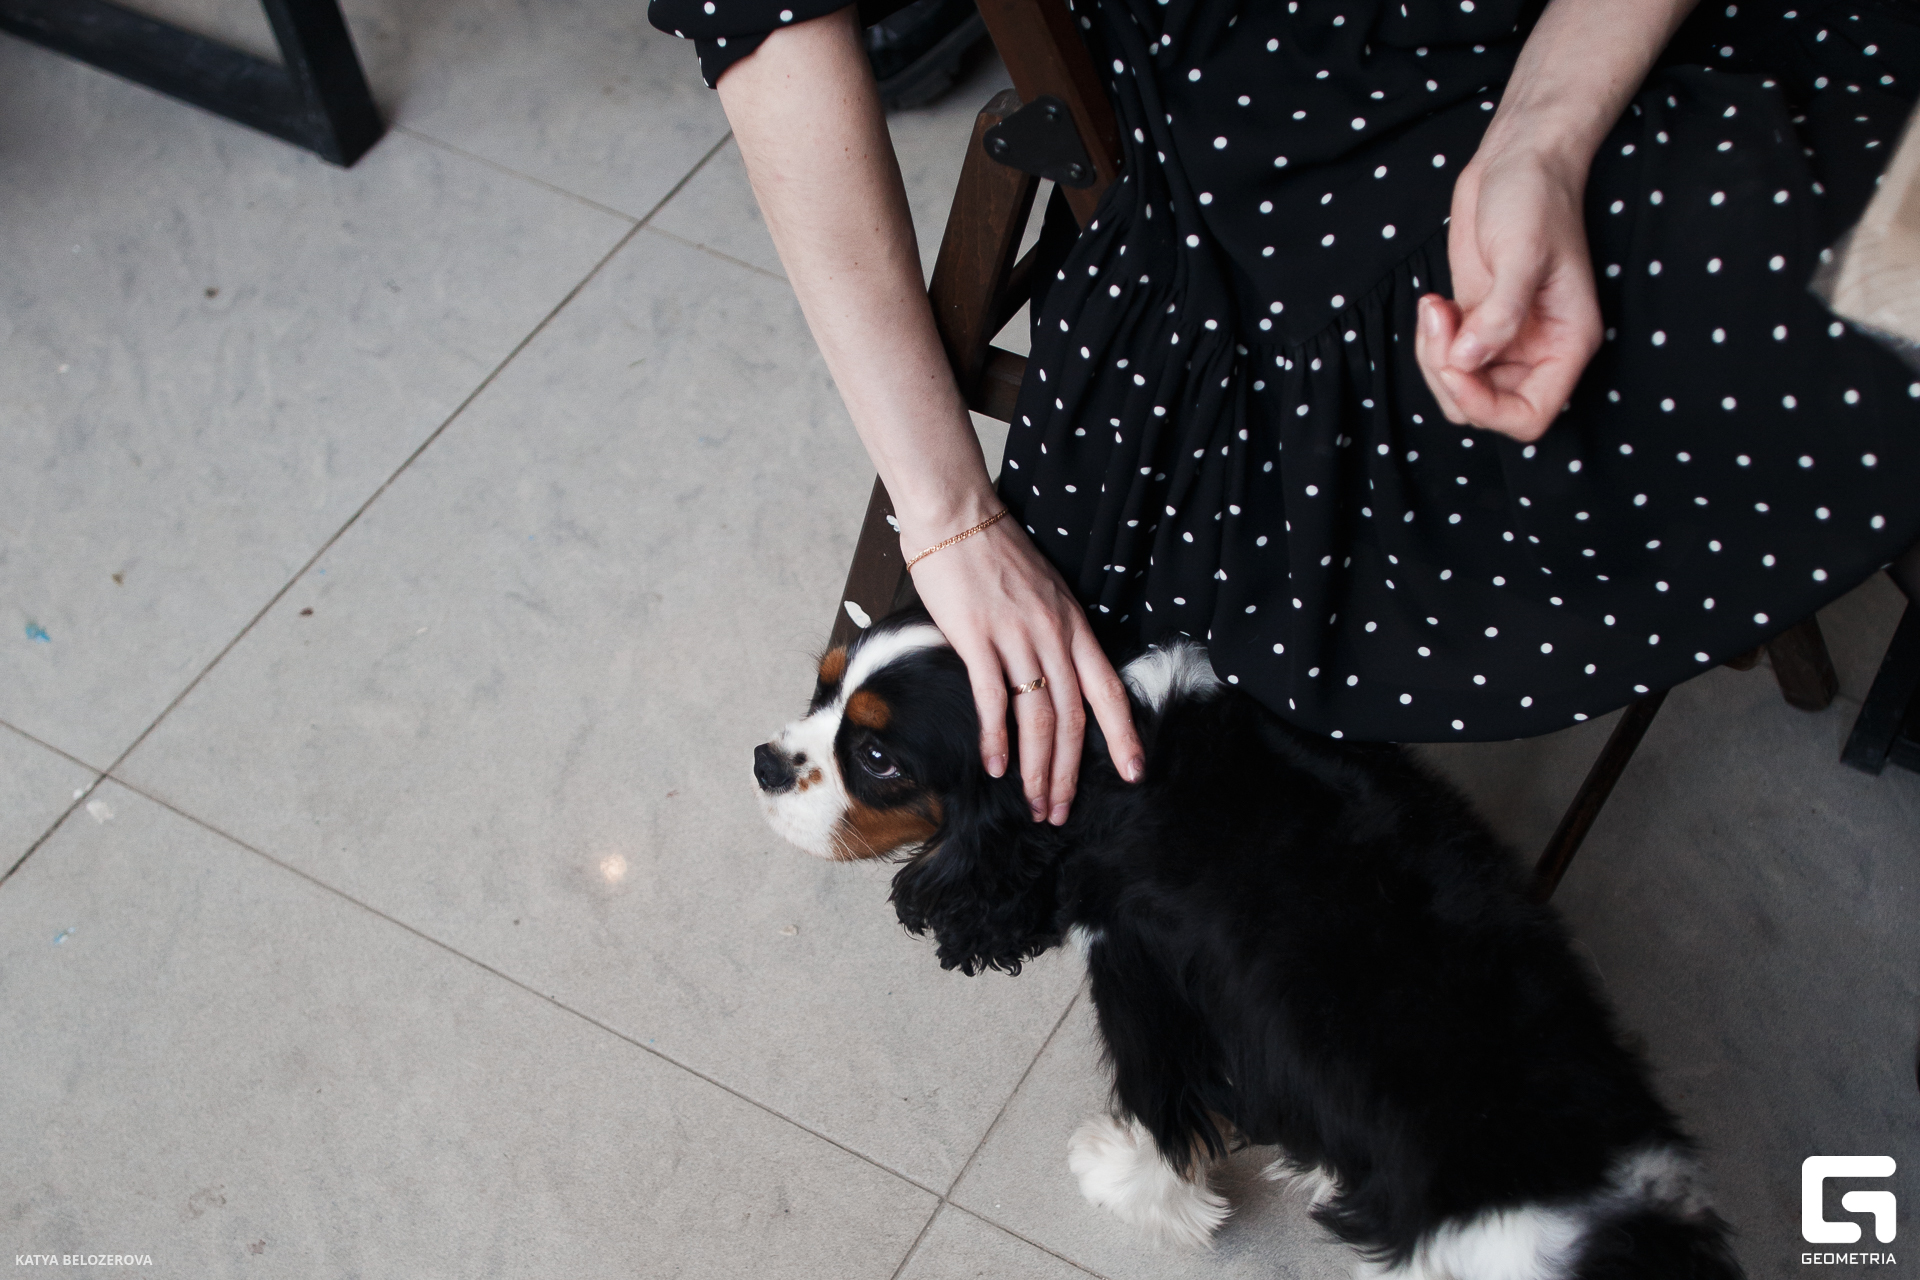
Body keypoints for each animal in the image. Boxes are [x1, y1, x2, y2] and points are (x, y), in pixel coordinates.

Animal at [753, 610, 1743, 1279]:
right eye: (823, 687)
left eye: (878, 759)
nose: (763, 761)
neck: (1109, 739)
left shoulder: (1141, 972)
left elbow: (1163, 1113)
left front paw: (1121, 1180)